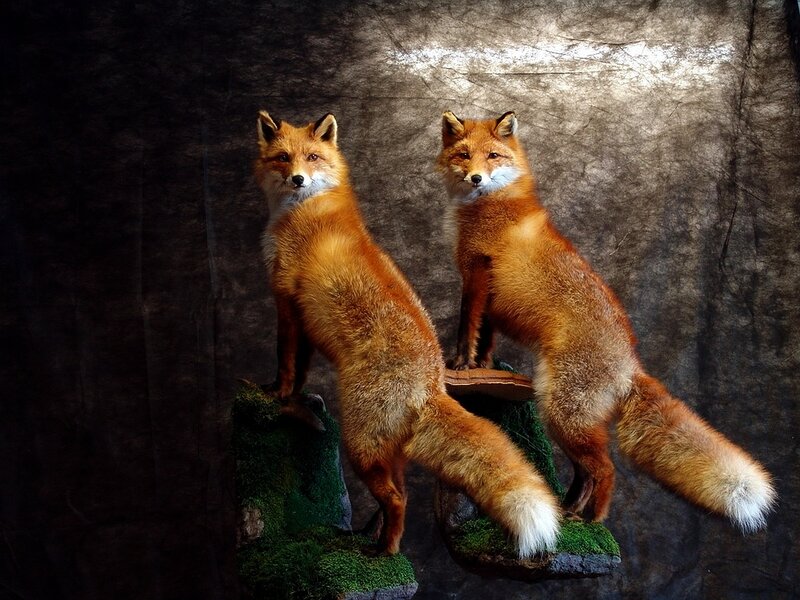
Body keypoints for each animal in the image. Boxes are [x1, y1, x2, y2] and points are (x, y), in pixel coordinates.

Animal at [254, 110, 561, 556]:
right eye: (282, 158)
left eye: (312, 157)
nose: (298, 179)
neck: (306, 211)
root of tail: (433, 382)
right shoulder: (303, 318)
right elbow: (301, 369)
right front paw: (292, 399)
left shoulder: (286, 303)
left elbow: (286, 362)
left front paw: (275, 395)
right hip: (388, 451)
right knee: (400, 496)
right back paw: (376, 539)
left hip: (360, 445)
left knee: (397, 499)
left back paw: (381, 552)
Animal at [436, 110, 776, 533]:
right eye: (464, 155)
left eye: (493, 156)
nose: (476, 178)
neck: (490, 205)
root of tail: (630, 363)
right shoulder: (489, 298)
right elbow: (486, 339)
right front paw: (481, 368)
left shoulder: (477, 275)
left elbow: (467, 327)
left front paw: (461, 364)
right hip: (568, 417)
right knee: (588, 471)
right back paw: (570, 513)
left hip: (563, 413)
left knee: (606, 468)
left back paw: (593, 520)